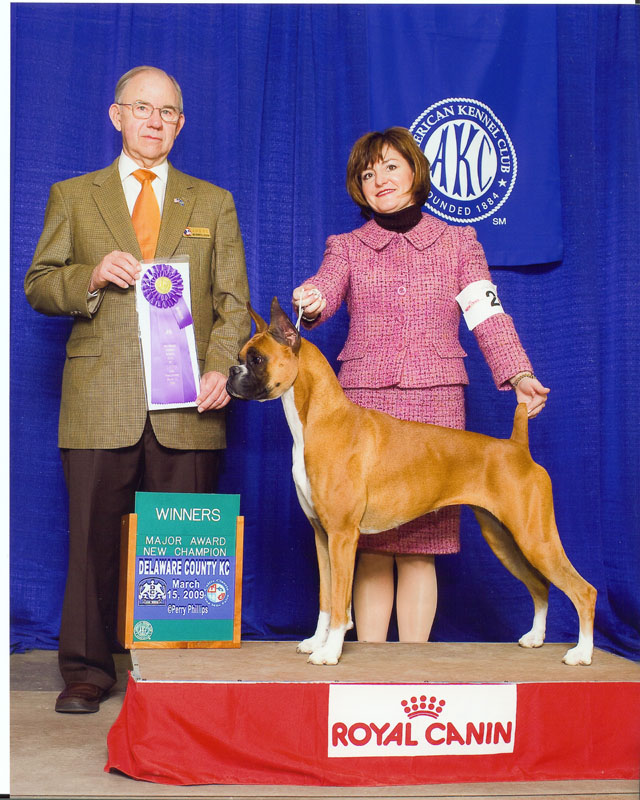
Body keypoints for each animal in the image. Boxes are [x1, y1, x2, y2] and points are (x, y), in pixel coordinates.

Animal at [228, 296, 596, 664]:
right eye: (240, 356)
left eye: (257, 359)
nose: (232, 372)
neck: (321, 418)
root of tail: (518, 447)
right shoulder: (322, 536)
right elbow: (326, 598)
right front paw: (317, 641)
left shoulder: (342, 537)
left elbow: (340, 604)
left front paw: (330, 651)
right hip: (504, 538)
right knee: (540, 585)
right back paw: (535, 637)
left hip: (536, 539)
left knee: (583, 590)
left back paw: (582, 653)